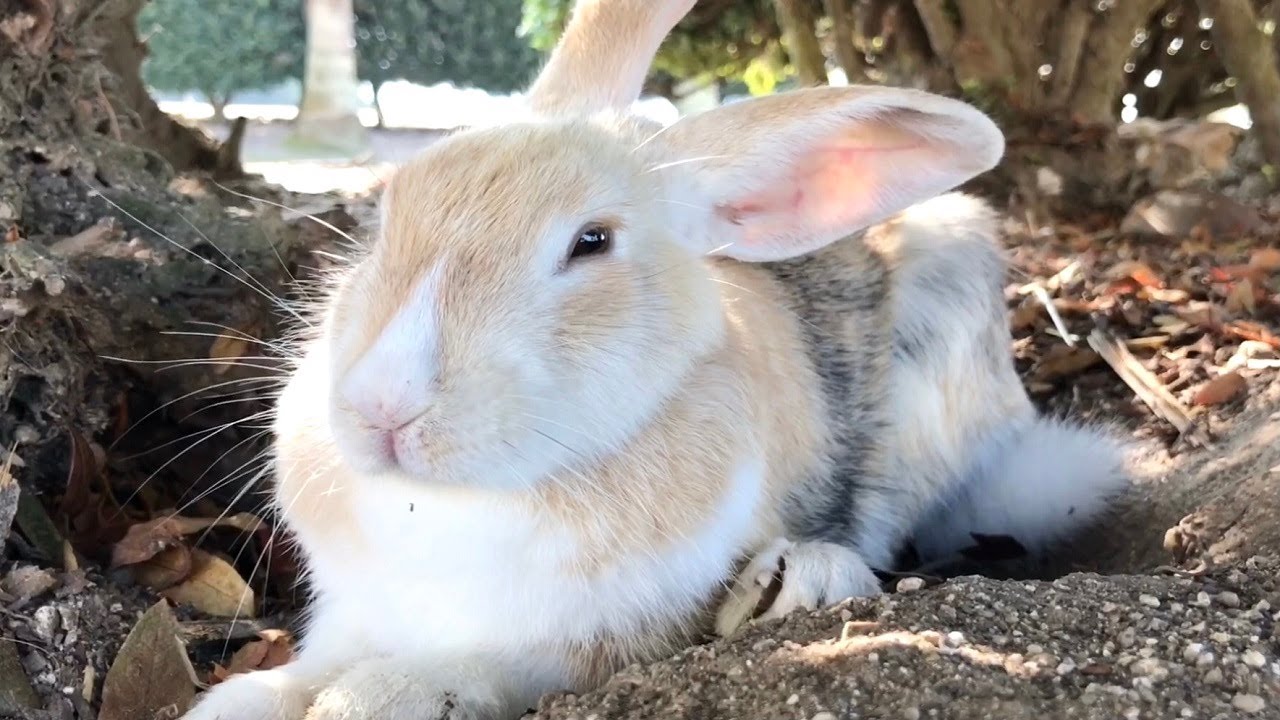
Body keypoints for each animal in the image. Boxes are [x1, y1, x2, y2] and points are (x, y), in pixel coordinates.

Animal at [180, 1, 1129, 719]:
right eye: (385, 214)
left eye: (591, 243)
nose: (382, 406)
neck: (457, 502)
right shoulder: (349, 613)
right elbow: (277, 684)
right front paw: (242, 701)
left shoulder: (588, 646)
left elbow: (457, 675)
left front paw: (383, 695)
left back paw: (806, 575)